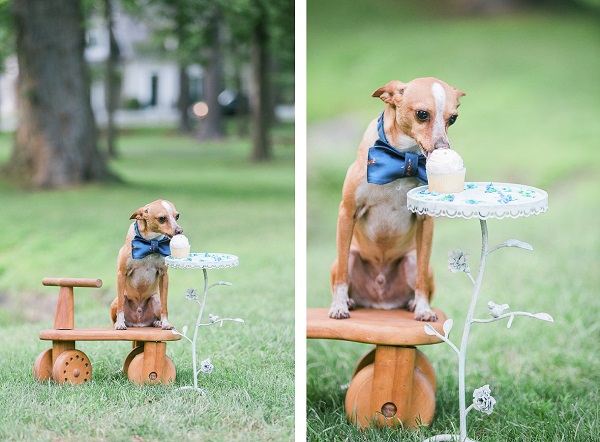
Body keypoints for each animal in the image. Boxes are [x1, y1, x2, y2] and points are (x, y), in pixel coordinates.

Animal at [109, 199, 182, 328]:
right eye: (162, 218)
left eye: (177, 216)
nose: (179, 231)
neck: (150, 243)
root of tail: (138, 323)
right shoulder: (121, 274)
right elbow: (121, 307)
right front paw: (120, 323)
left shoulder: (164, 276)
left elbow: (165, 305)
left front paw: (166, 323)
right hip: (116, 301)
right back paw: (119, 323)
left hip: (155, 299)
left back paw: (158, 322)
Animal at [328, 77, 464, 322]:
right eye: (422, 114)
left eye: (453, 118)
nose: (443, 148)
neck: (402, 160)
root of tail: (381, 302)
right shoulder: (347, 213)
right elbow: (342, 275)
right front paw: (339, 305)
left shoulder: (425, 222)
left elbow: (421, 278)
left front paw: (423, 309)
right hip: (352, 255)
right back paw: (349, 301)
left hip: (411, 261)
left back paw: (413, 304)